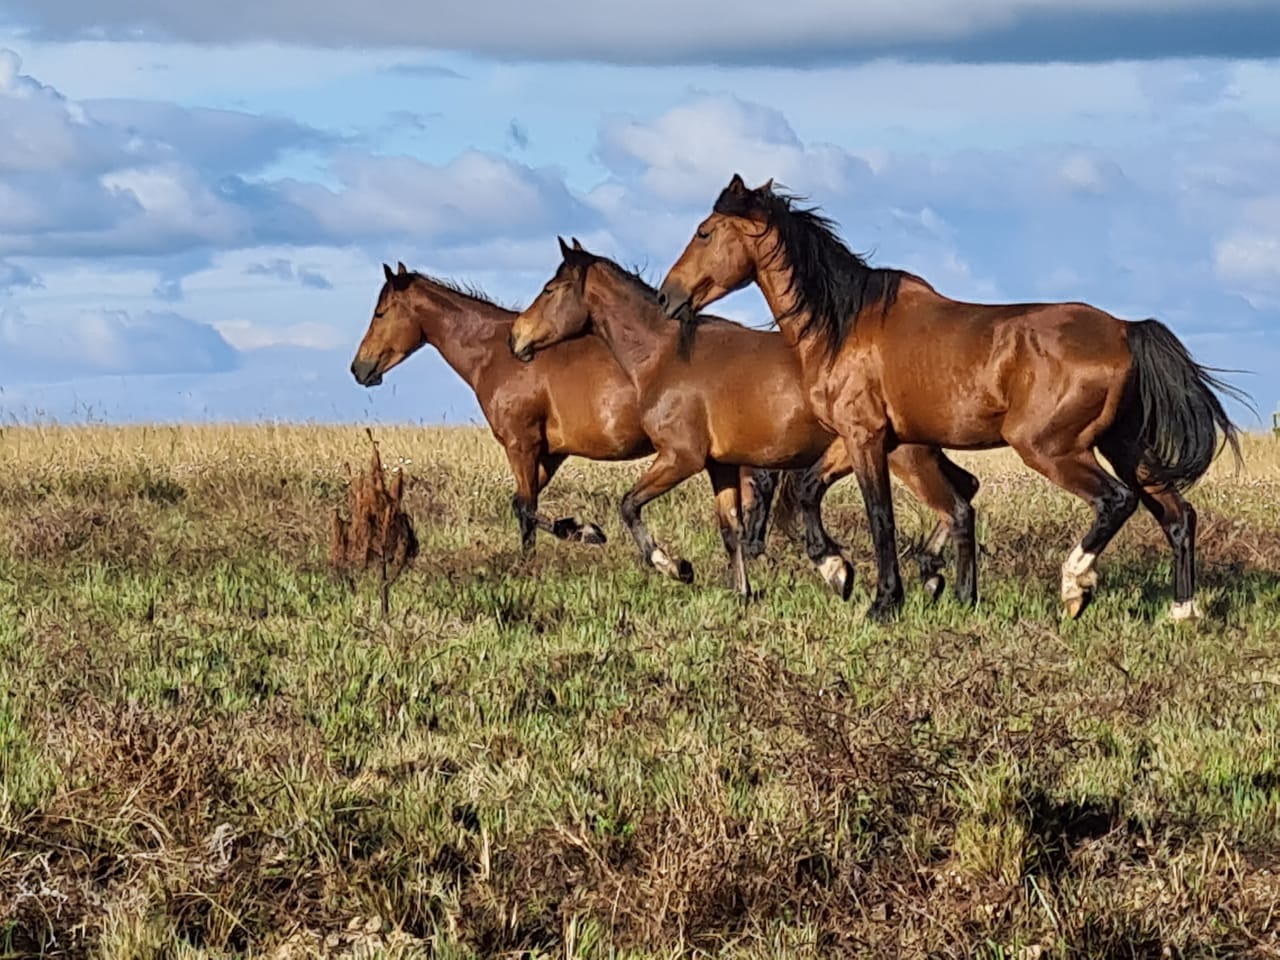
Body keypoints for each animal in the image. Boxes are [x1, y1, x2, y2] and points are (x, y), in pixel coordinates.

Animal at [349, 262, 786, 556]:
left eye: (381, 312)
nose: (359, 368)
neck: (497, 355)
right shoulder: (550, 453)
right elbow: (522, 505)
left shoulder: (521, 445)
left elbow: (526, 508)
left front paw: (581, 533)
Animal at [509, 237, 982, 600]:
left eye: (551, 288)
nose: (517, 337)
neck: (666, 357)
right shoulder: (720, 465)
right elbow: (730, 529)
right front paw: (742, 591)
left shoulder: (680, 458)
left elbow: (629, 504)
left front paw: (672, 565)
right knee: (964, 488)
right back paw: (930, 572)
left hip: (904, 456)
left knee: (954, 503)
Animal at [659, 174, 1247, 622]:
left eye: (705, 232)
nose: (668, 297)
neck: (843, 325)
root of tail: (1126, 329)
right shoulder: (861, 438)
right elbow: (806, 491)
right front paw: (838, 571)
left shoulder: (866, 438)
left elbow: (880, 517)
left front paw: (883, 602)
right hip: (1125, 447)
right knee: (1177, 514)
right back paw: (1182, 612)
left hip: (1052, 448)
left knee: (1116, 501)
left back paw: (1074, 586)